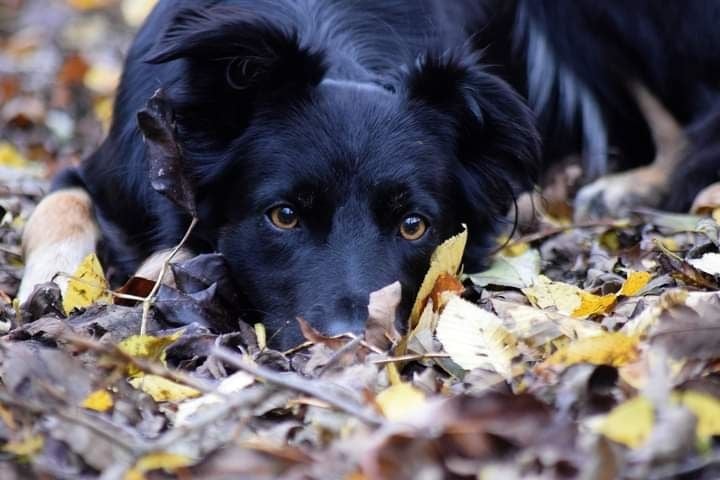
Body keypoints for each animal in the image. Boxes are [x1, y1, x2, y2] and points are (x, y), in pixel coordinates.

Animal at [19, 0, 536, 346]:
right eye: (284, 216)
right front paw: (52, 285)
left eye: (413, 226)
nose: (351, 344)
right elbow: (57, 206)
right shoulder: (104, 176)